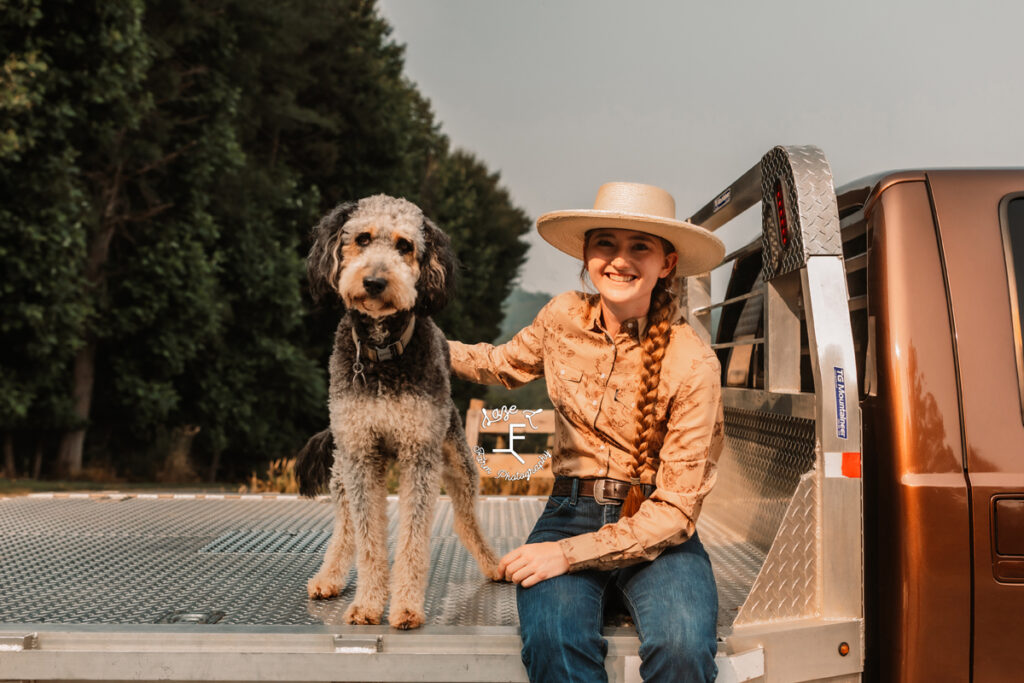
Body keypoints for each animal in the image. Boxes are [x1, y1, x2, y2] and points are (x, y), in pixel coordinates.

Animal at [294, 192, 501, 630]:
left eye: (405, 245)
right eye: (362, 238)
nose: (374, 282)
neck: (382, 352)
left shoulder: (418, 455)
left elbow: (412, 539)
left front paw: (405, 606)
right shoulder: (360, 454)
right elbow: (368, 539)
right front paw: (369, 604)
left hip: (458, 462)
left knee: (466, 520)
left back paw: (493, 563)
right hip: (343, 470)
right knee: (346, 528)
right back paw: (329, 577)